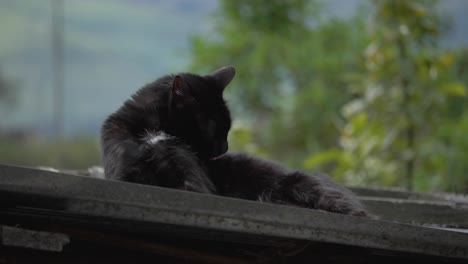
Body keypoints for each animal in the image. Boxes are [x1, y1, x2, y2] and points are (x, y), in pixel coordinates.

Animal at [100, 66, 368, 217]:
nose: (224, 149)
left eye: (228, 128)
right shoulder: (125, 172)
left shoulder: (196, 185)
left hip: (301, 183)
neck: (154, 132)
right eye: (212, 127)